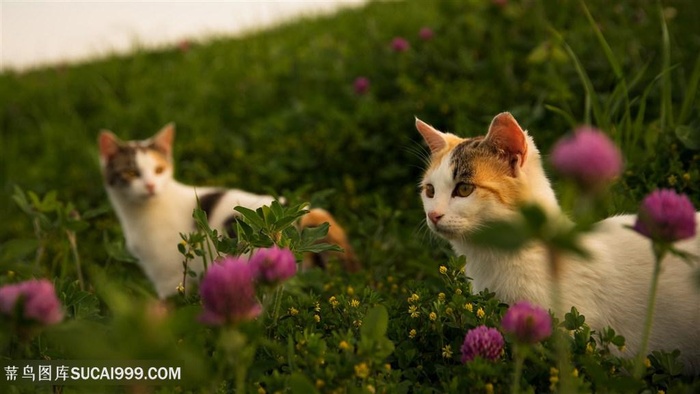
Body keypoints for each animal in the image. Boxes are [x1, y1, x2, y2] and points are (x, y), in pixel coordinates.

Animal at [98, 123, 360, 298]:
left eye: (159, 170)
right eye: (131, 173)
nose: (151, 186)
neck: (139, 214)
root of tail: (308, 214)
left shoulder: (169, 280)